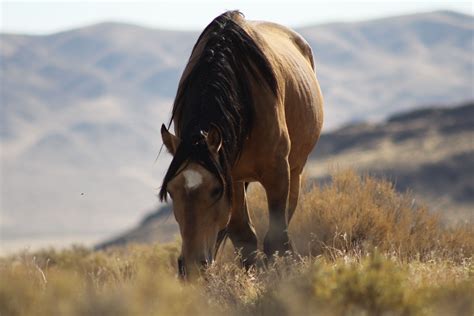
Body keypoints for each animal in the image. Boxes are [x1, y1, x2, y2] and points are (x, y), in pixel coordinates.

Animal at [159, 10, 322, 278]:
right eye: (171, 191)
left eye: (216, 190)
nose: (191, 265)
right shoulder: (232, 176)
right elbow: (243, 235)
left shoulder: (276, 172)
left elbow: (276, 237)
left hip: (295, 169)